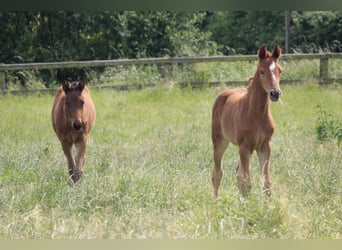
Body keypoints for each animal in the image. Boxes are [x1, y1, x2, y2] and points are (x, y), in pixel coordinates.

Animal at [212, 44, 282, 198]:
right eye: (262, 72)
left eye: (280, 70)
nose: (275, 93)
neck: (257, 115)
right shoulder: (245, 146)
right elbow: (247, 184)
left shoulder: (265, 146)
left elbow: (267, 183)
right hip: (220, 141)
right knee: (217, 174)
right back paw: (215, 201)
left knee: (238, 174)